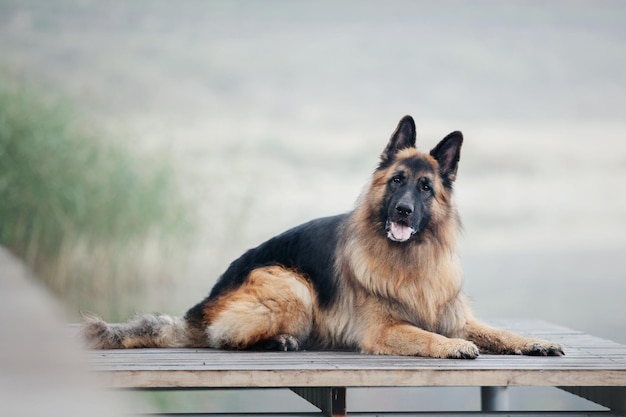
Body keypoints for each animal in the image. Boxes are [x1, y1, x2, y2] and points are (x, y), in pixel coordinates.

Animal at [80, 114, 564, 358]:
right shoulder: (385, 330)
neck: (410, 260)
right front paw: (453, 347)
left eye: (426, 188)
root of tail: (204, 302)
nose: (404, 210)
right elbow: (429, 336)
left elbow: (498, 332)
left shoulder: (455, 315)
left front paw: (534, 342)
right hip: (291, 284)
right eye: (397, 181)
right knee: (225, 337)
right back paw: (279, 341)